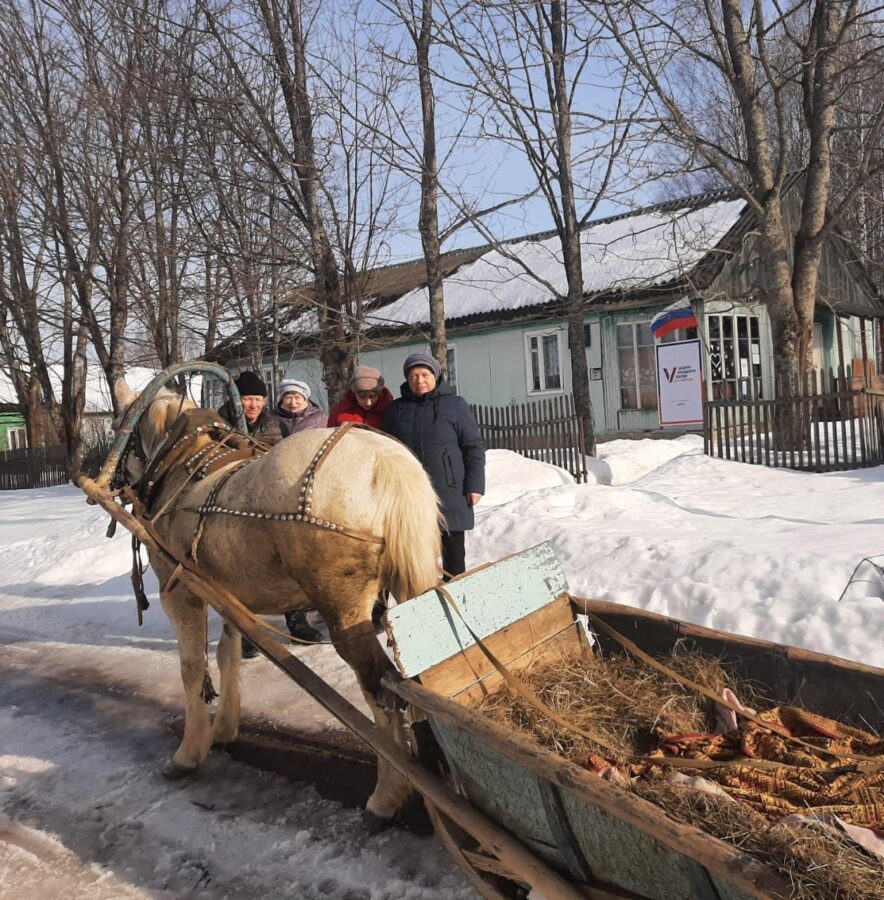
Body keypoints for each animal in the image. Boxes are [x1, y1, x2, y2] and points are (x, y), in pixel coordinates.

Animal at [111, 380, 442, 824]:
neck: (183, 467)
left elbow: (192, 669)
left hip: (345, 612)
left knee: (382, 690)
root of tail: (385, 463)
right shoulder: (228, 594)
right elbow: (227, 654)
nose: (113, 480)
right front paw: (225, 729)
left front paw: (188, 753)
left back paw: (387, 796)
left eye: (118, 424)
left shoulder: (179, 591)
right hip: (411, 588)